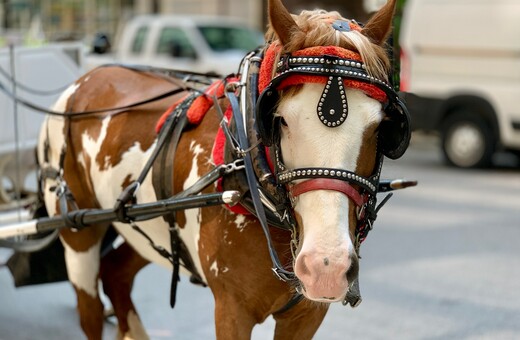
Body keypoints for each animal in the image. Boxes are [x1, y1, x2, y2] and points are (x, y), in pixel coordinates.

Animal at [36, 0, 410, 338]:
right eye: (280, 120)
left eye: (381, 127)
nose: (325, 265)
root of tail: (87, 77)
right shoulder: (232, 310)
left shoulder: (307, 315)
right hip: (79, 235)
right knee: (90, 311)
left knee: (115, 273)